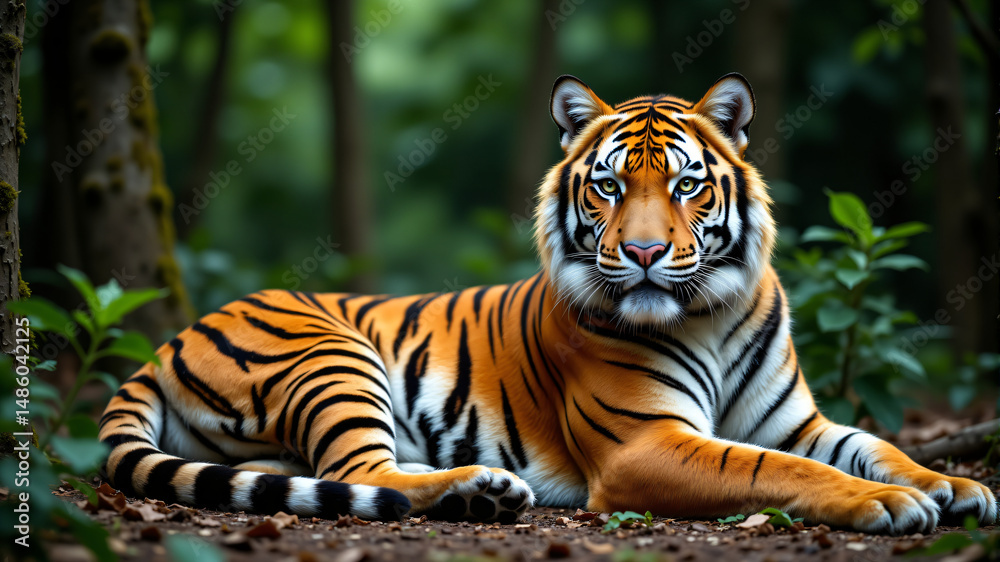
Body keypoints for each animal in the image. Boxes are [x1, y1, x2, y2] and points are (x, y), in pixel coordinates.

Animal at [99, 73, 997, 533]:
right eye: (609, 186)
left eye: (685, 185)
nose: (643, 253)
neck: (709, 311)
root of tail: (168, 340)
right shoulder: (645, 444)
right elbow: (775, 468)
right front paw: (886, 503)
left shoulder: (796, 420)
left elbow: (874, 443)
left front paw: (954, 486)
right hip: (329, 353)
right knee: (359, 474)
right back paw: (479, 489)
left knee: (315, 472)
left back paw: (479, 485)